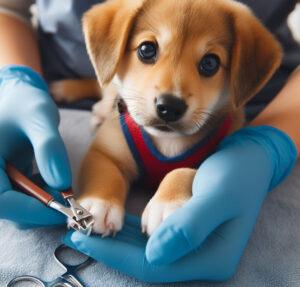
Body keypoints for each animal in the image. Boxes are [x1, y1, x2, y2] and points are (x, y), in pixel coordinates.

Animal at [68, 0, 282, 236]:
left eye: (210, 63)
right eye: (146, 49)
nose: (169, 107)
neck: (167, 142)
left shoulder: (213, 158)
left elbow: (181, 172)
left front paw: (166, 204)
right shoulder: (105, 153)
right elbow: (105, 174)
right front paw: (99, 204)